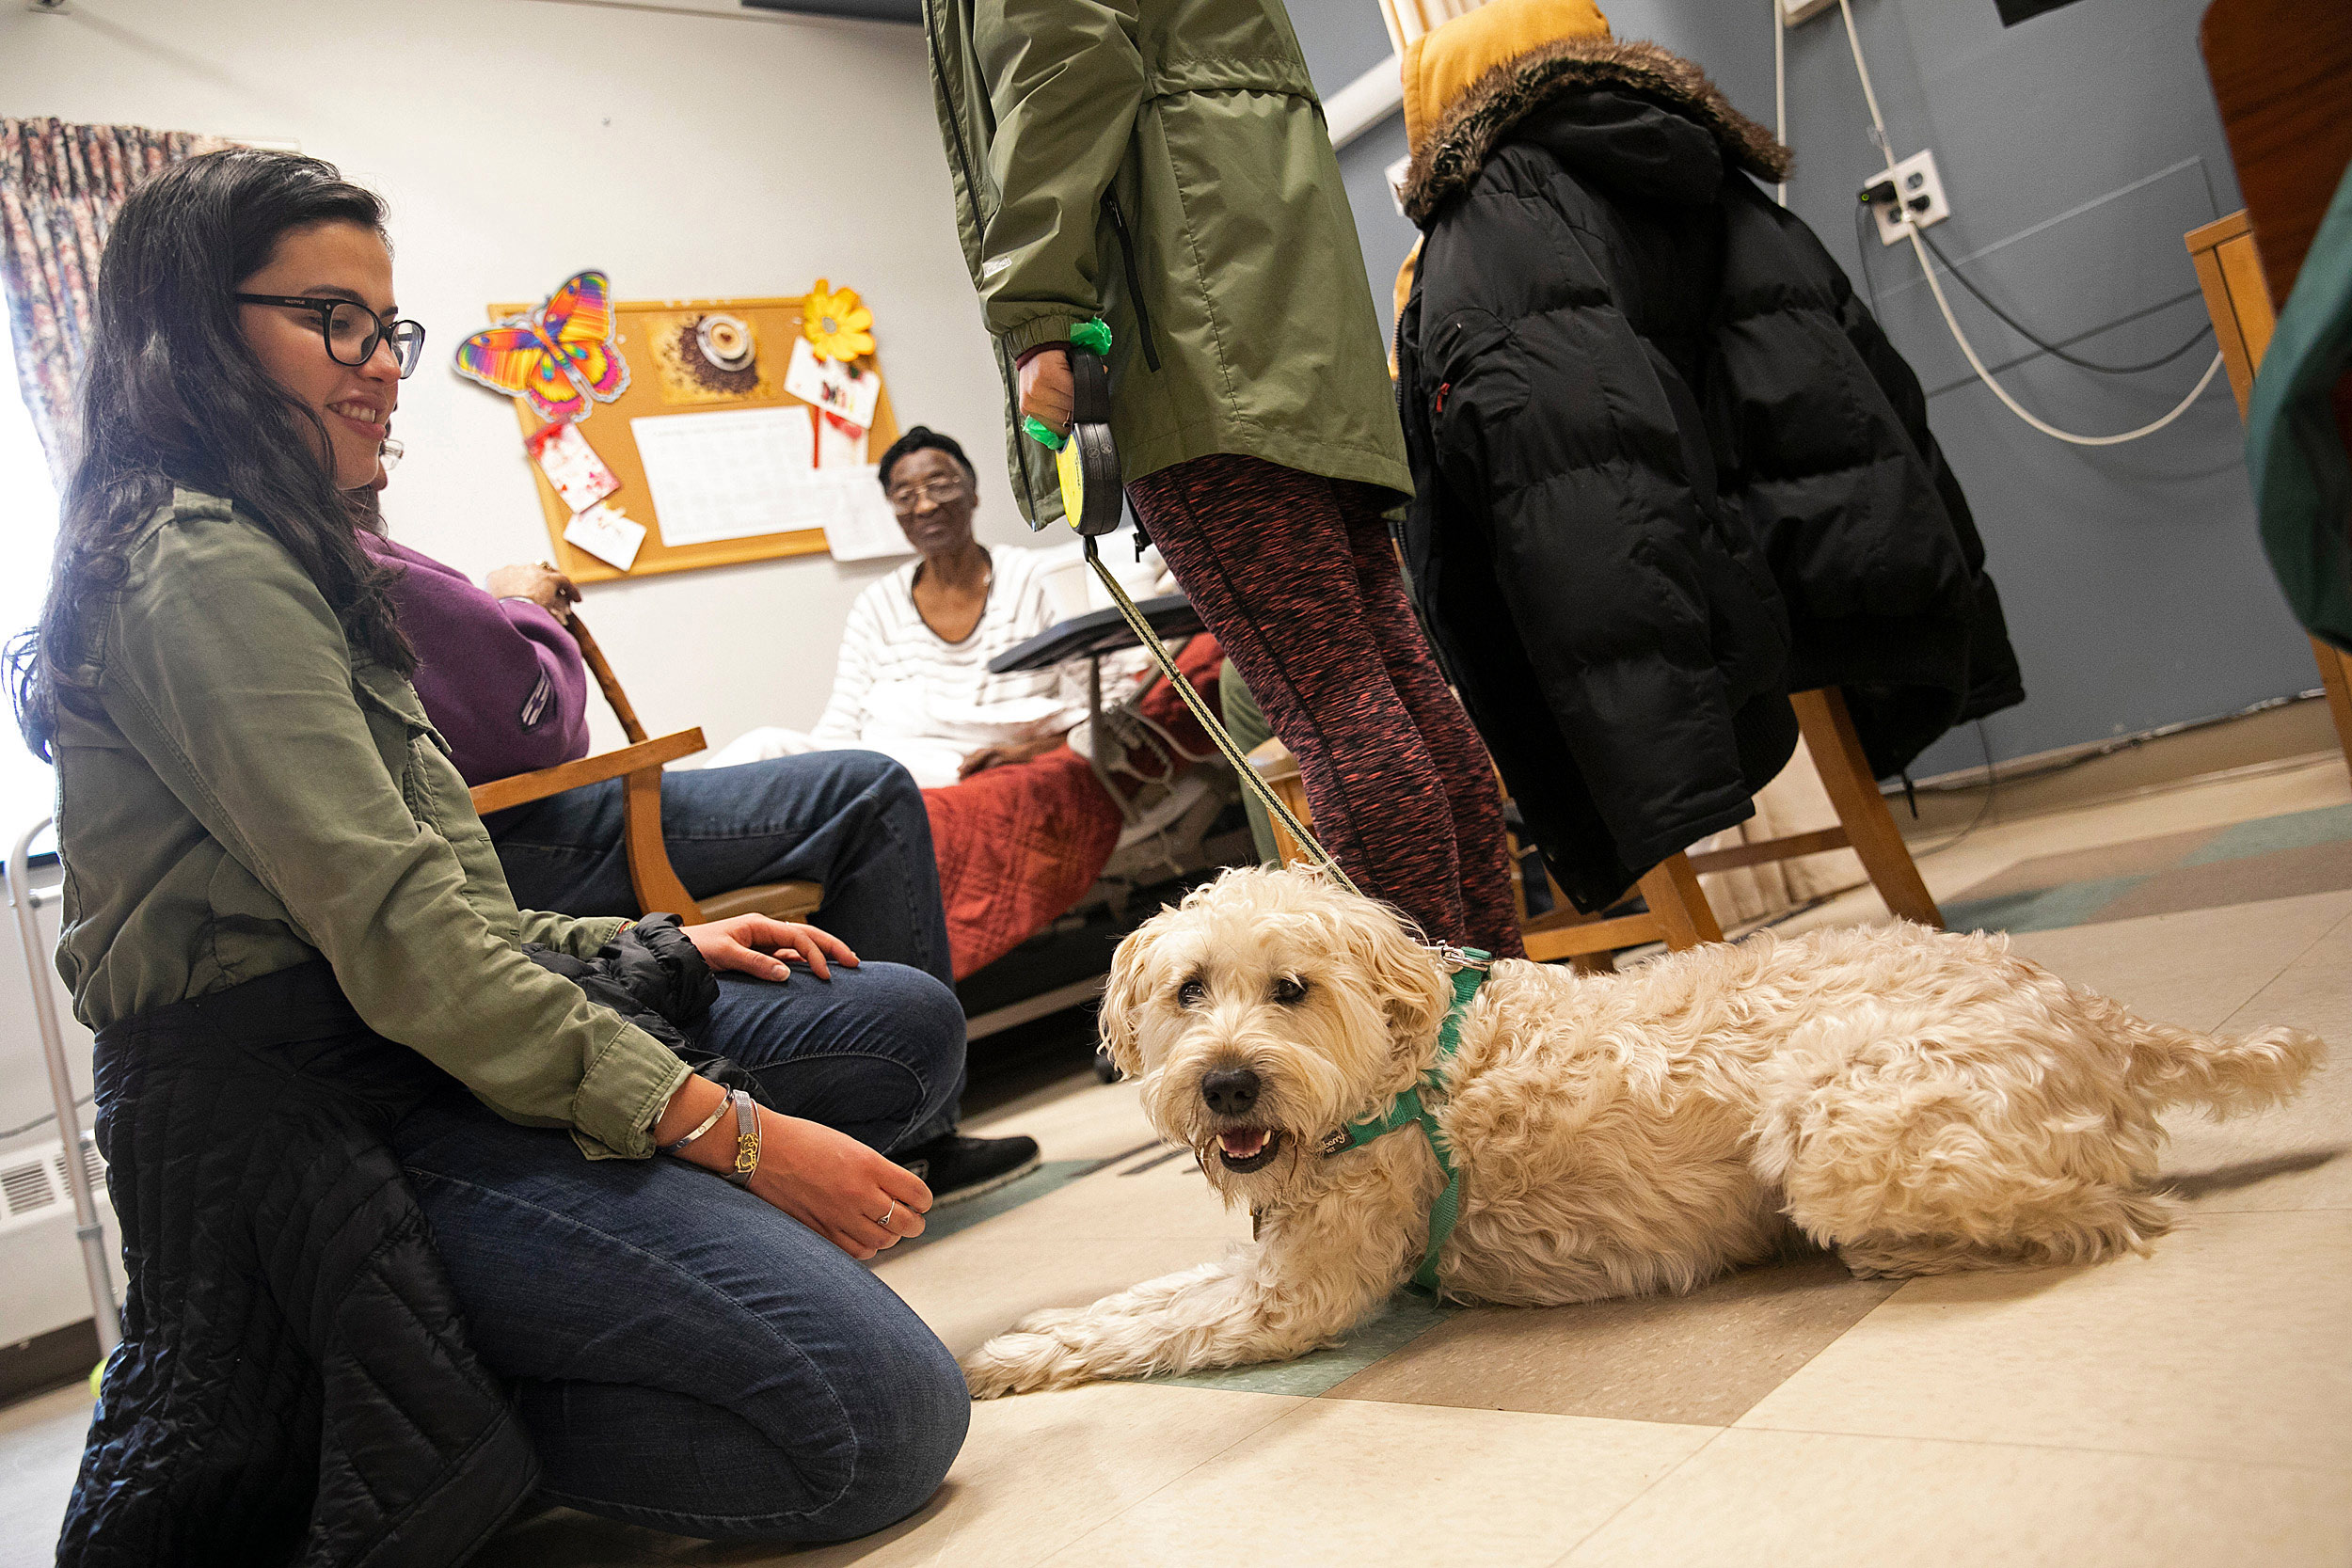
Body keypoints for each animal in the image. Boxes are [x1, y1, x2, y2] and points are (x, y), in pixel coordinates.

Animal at [964, 869, 2324, 1401]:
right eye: (1189, 988)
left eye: (1289, 988)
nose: (1229, 1084)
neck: (1394, 1066)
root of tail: (2097, 1011)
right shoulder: (1270, 1249)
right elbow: (1143, 1292)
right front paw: (1028, 1330)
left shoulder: (1294, 1293)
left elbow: (1154, 1324)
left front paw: (1007, 1360)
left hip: (1836, 1125)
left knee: (2110, 1212)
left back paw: (1906, 1252)